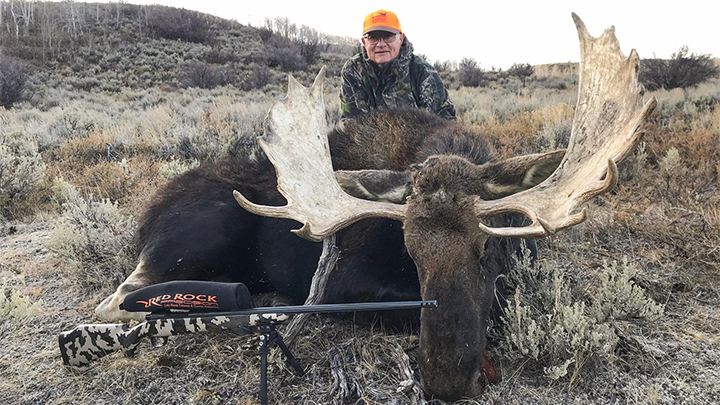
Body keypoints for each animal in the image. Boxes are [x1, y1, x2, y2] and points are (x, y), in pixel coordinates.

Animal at [95, 15, 660, 400]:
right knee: (117, 301)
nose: (446, 379)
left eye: (487, 249)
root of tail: (150, 213)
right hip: (193, 242)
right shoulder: (343, 285)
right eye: (411, 251)